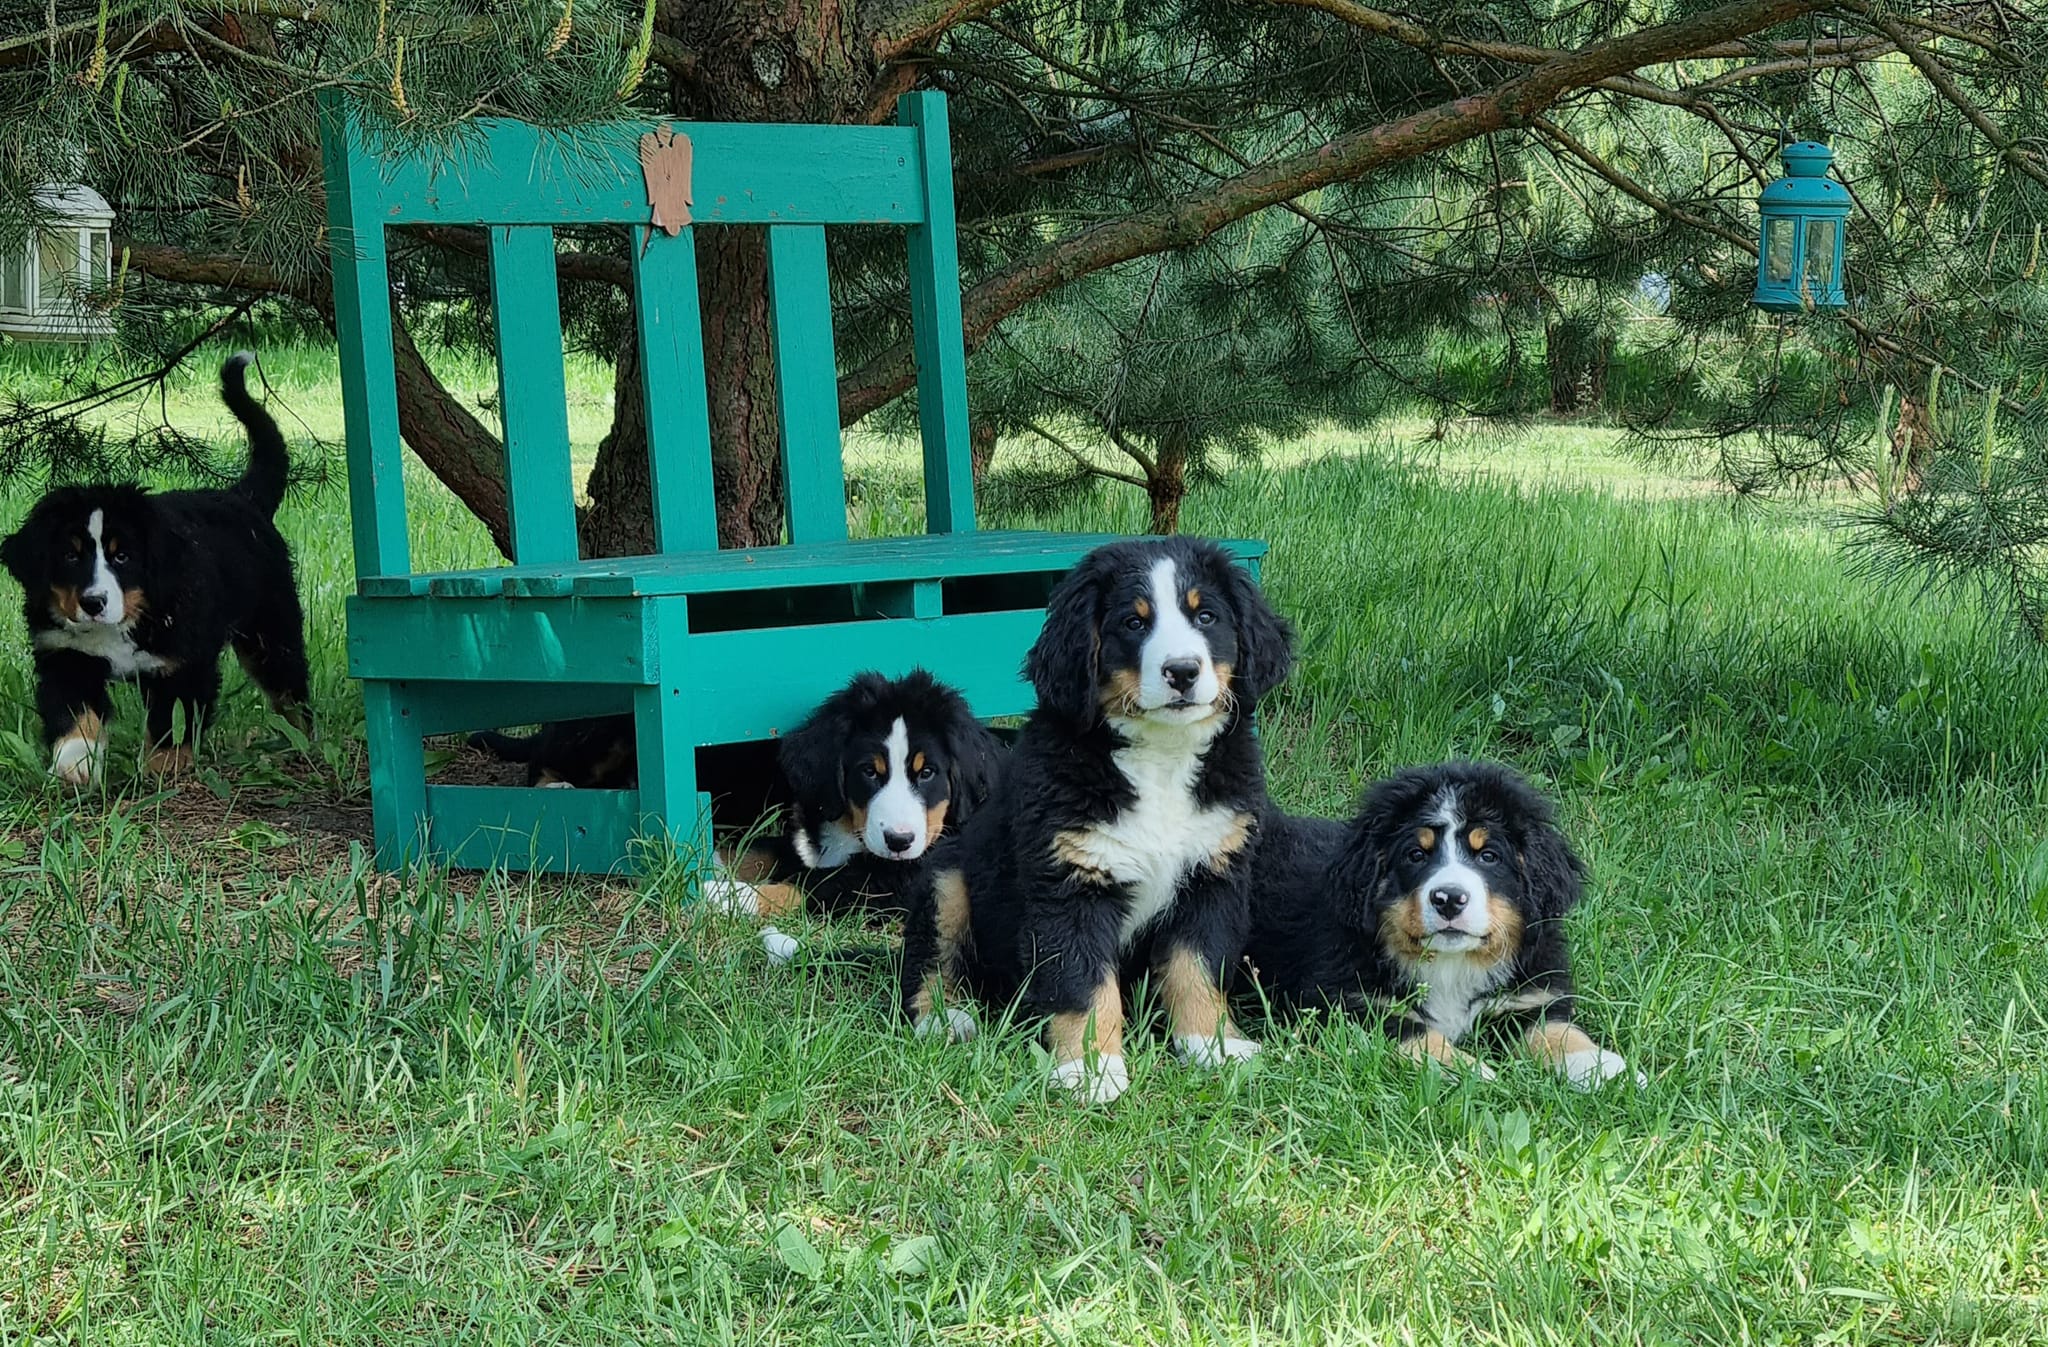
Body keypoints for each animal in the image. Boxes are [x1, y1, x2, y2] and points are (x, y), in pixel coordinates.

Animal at [1, 352, 309, 786]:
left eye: (122, 557)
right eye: (71, 556)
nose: (93, 603)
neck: (124, 621)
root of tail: (241, 498)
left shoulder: (181, 664)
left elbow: (171, 722)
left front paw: (164, 769)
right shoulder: (65, 655)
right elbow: (75, 712)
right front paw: (75, 765)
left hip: (271, 631)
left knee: (290, 689)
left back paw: (302, 743)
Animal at [899, 536, 1294, 1104]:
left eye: (1206, 616)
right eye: (1133, 623)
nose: (1182, 671)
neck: (1162, 757)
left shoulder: (1212, 875)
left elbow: (1197, 968)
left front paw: (1211, 1045)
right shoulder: (1069, 885)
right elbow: (1083, 982)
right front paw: (1091, 1067)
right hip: (946, 878)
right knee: (930, 961)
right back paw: (944, 1018)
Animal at [1242, 761, 1641, 1089]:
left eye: (1488, 855)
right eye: (1416, 855)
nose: (1449, 898)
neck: (1453, 964)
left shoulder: (1526, 998)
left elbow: (1556, 1030)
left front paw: (1600, 1064)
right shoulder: (1346, 1005)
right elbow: (1417, 1035)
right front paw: (1468, 1069)